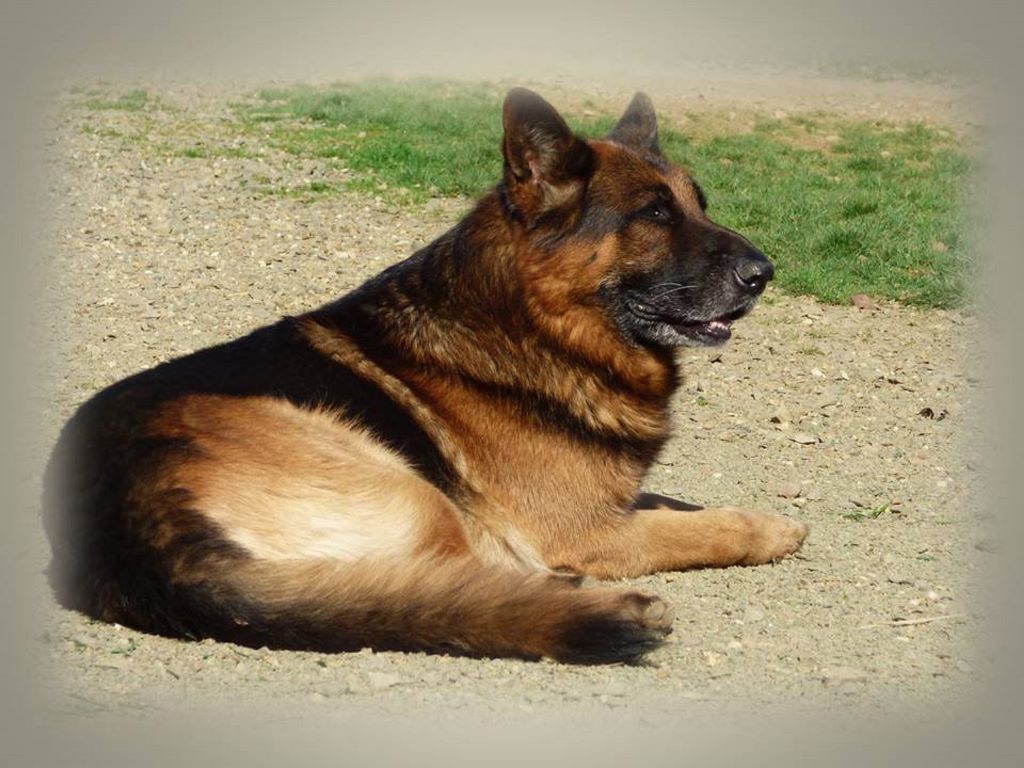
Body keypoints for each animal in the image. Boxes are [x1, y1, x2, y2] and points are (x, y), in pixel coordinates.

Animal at [46, 88, 806, 667]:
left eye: (699, 204)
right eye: (654, 214)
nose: (765, 273)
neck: (531, 321)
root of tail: (133, 531)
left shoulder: (602, 504)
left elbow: (674, 505)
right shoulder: (585, 529)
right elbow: (695, 528)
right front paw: (767, 530)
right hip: (407, 487)